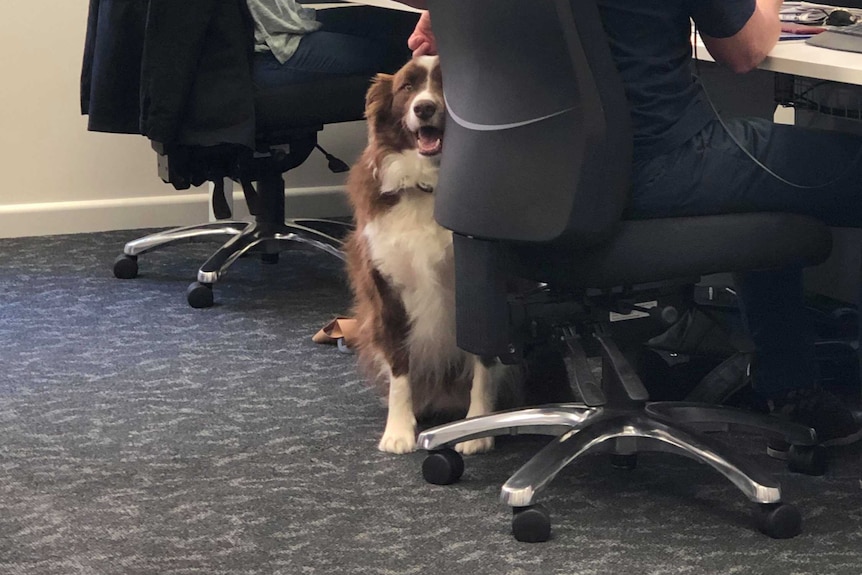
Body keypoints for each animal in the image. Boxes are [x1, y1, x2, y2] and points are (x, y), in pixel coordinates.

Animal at [344, 56, 540, 456]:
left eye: (448, 84)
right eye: (407, 87)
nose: (424, 108)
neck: (431, 188)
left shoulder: (485, 292)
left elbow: (484, 363)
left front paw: (478, 428)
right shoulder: (388, 292)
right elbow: (400, 368)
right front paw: (399, 429)